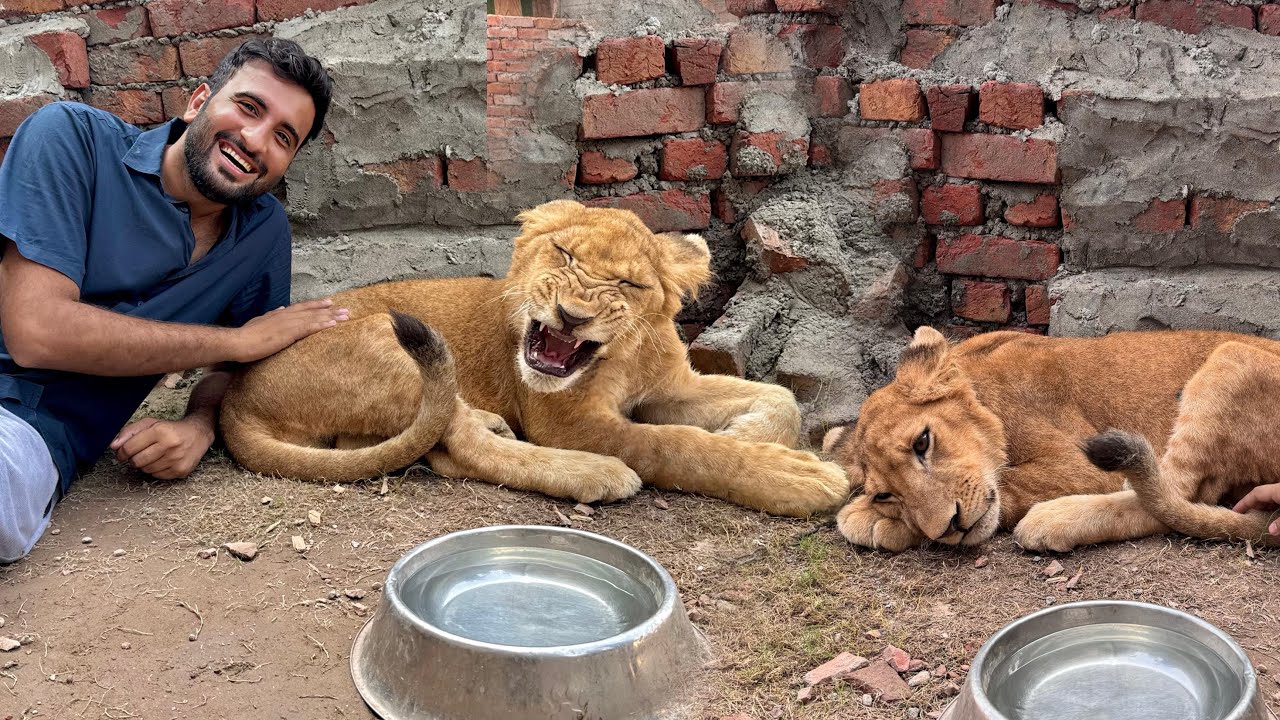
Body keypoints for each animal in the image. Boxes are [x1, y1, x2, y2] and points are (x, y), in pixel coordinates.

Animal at [219, 200, 849, 517]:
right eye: (563, 252)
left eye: (629, 284)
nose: (572, 315)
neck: (620, 361)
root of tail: (235, 396)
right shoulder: (564, 421)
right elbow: (673, 445)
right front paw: (794, 474)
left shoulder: (671, 384)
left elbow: (781, 397)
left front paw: (751, 434)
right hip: (388, 338)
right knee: (458, 442)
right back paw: (594, 473)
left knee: (425, 446)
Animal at [822, 325, 1280, 552]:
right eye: (885, 494)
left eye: (922, 443)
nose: (950, 527)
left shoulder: (1081, 464)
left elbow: (1009, 487)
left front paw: (869, 520)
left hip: (1231, 357)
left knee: (1173, 495)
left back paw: (1054, 520)